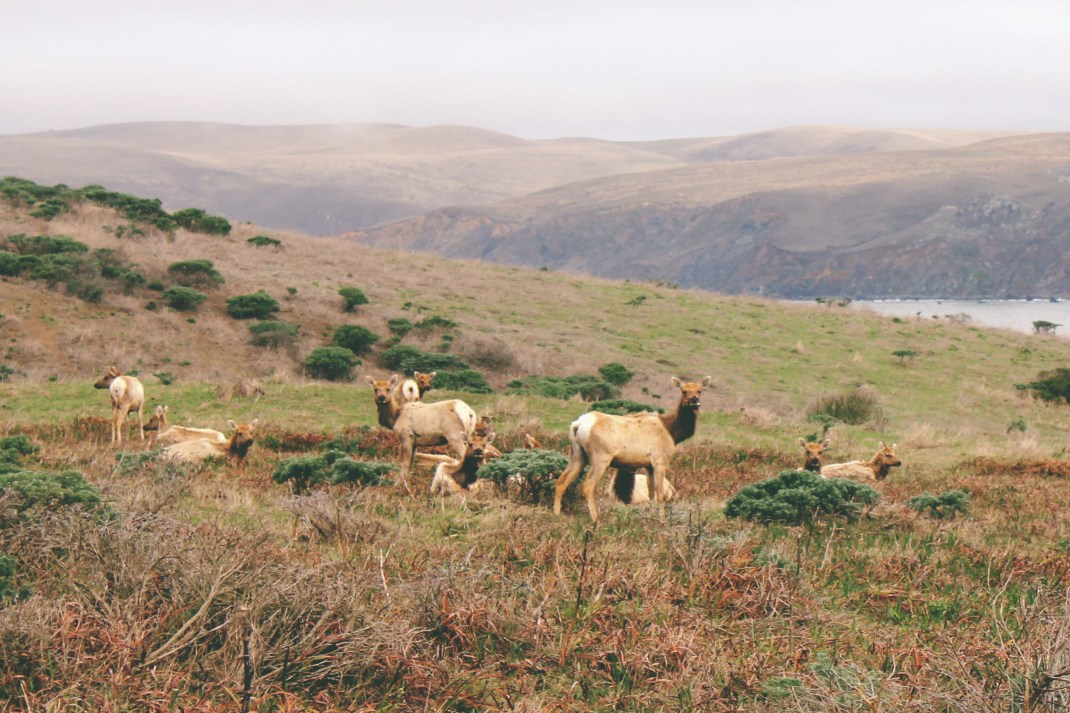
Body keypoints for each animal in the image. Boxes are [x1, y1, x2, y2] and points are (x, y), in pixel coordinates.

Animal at [554, 376, 711, 522]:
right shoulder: (660, 460)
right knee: (588, 485)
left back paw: (556, 513)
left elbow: (651, 493)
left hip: (578, 453)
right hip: (600, 456)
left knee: (561, 481)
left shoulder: (648, 465)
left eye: (700, 390)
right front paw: (662, 521)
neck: (673, 432)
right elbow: (660, 495)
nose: (694, 400)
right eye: (684, 391)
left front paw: (650, 517)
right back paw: (596, 519)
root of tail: (577, 425)